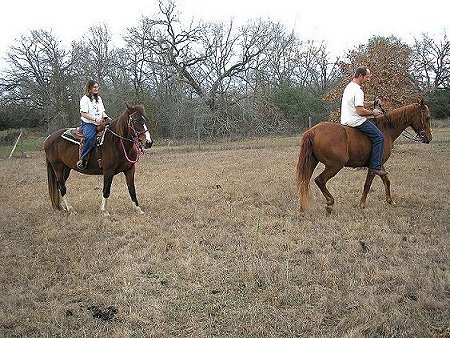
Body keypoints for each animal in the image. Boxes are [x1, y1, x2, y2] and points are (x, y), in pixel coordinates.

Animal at [296, 99, 432, 213]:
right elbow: (367, 185)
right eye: (427, 118)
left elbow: (386, 181)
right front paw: (362, 205)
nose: (429, 138)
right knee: (319, 180)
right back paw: (329, 203)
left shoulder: (379, 165)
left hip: (312, 163)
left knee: (304, 182)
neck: (386, 129)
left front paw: (390, 200)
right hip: (334, 166)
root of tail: (312, 131)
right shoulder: (373, 167)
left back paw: (303, 206)